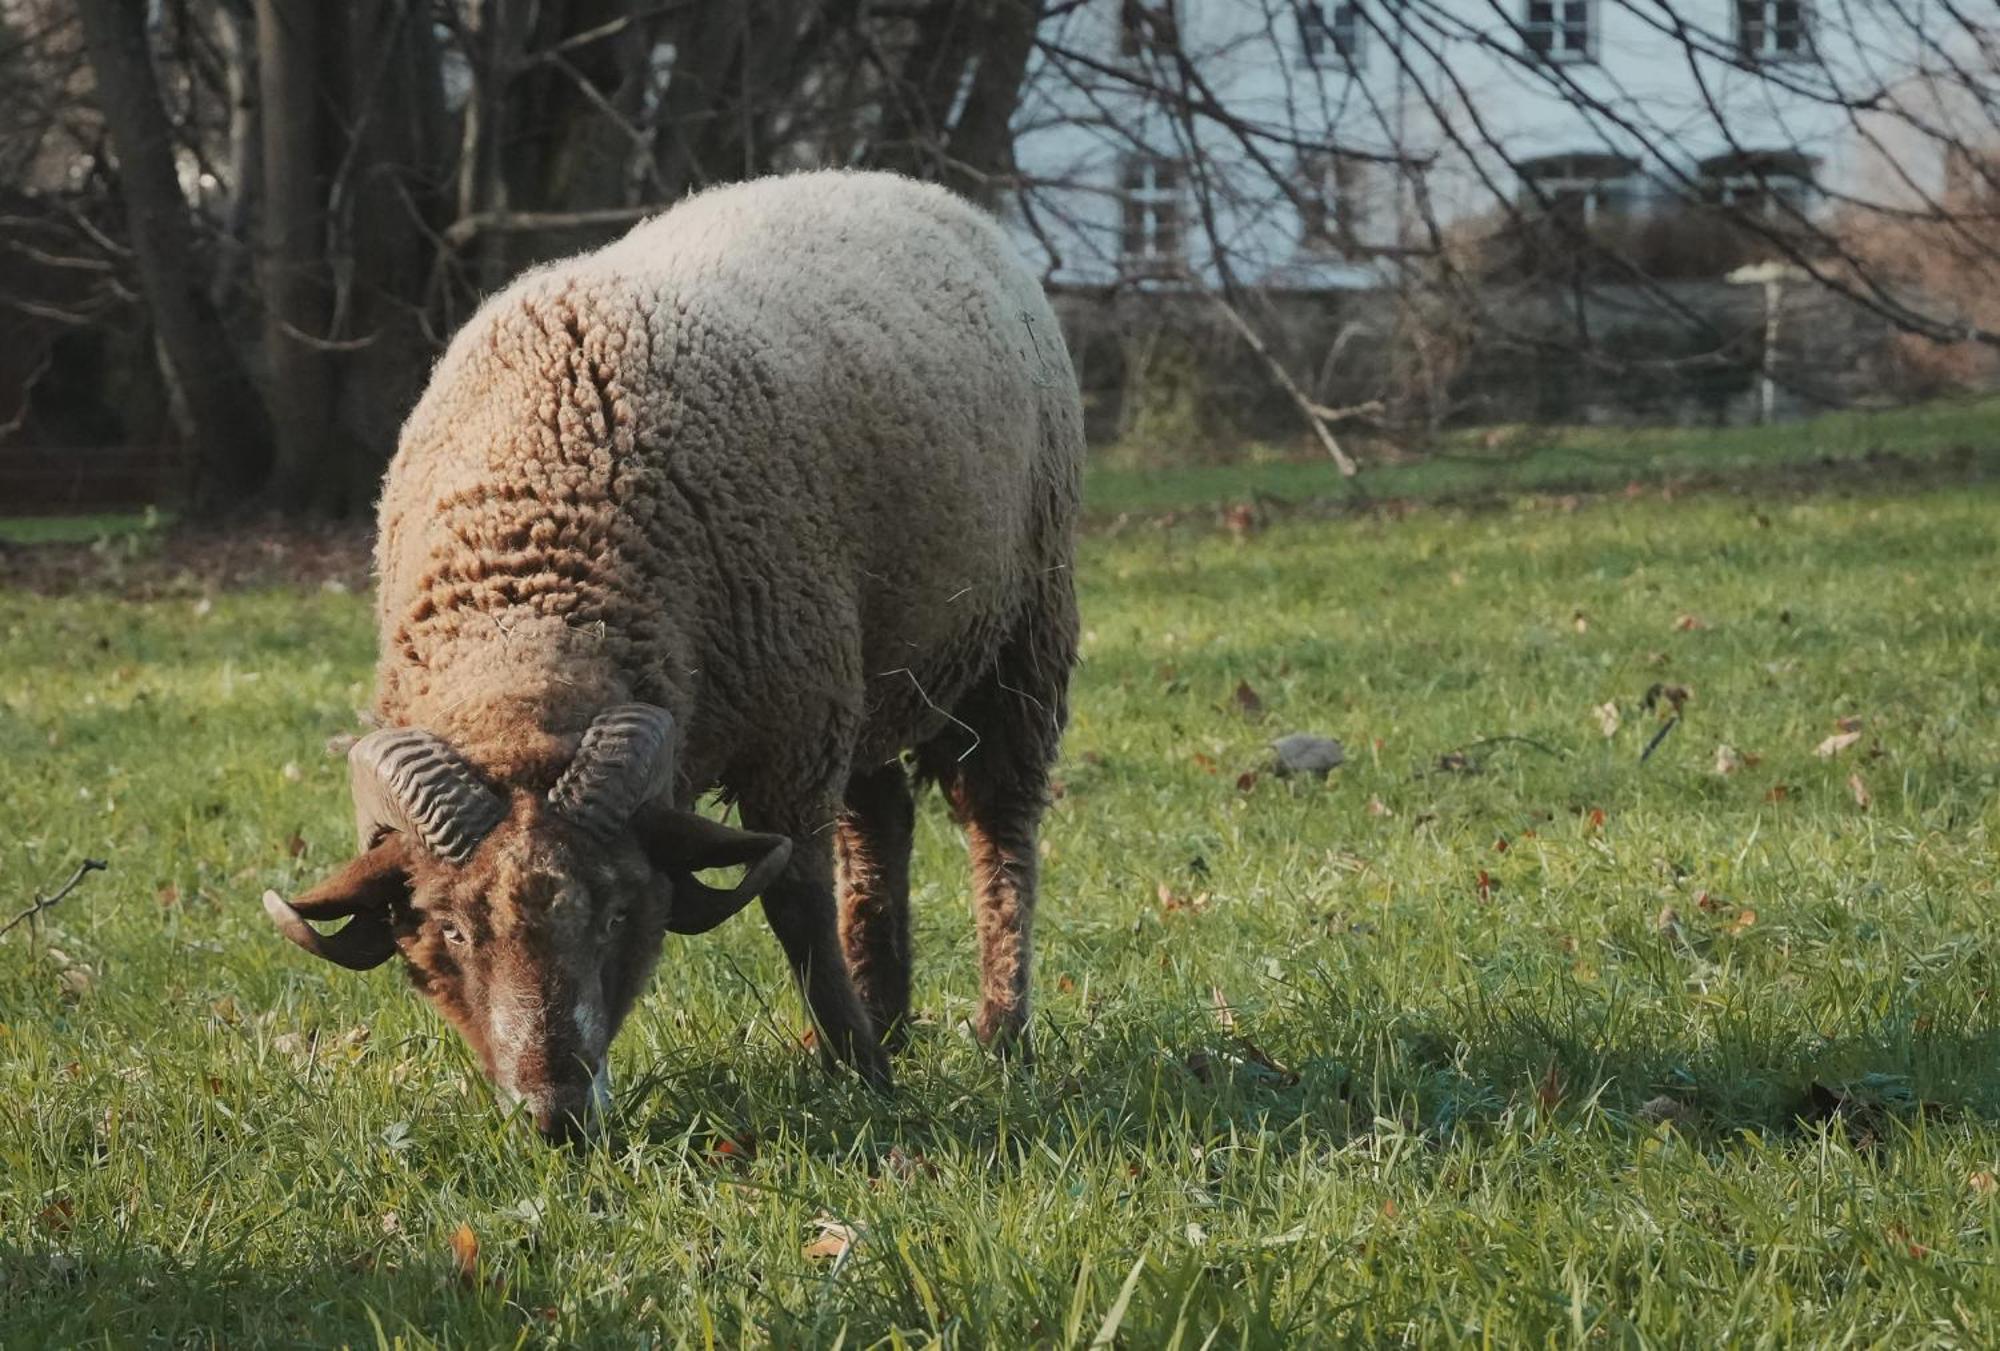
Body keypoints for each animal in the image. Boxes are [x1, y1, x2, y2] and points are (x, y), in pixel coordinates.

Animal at [266, 168, 1088, 1143]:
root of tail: (895, 181)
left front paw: (863, 1073)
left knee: (999, 829)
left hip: (1019, 637)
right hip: (866, 666)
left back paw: (1000, 1033)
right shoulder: (812, 702)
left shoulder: (791, 735)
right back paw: (889, 1008)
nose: (557, 1115)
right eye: (452, 929)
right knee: (880, 820)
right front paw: (863, 1048)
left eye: (623, 907)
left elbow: (796, 903)